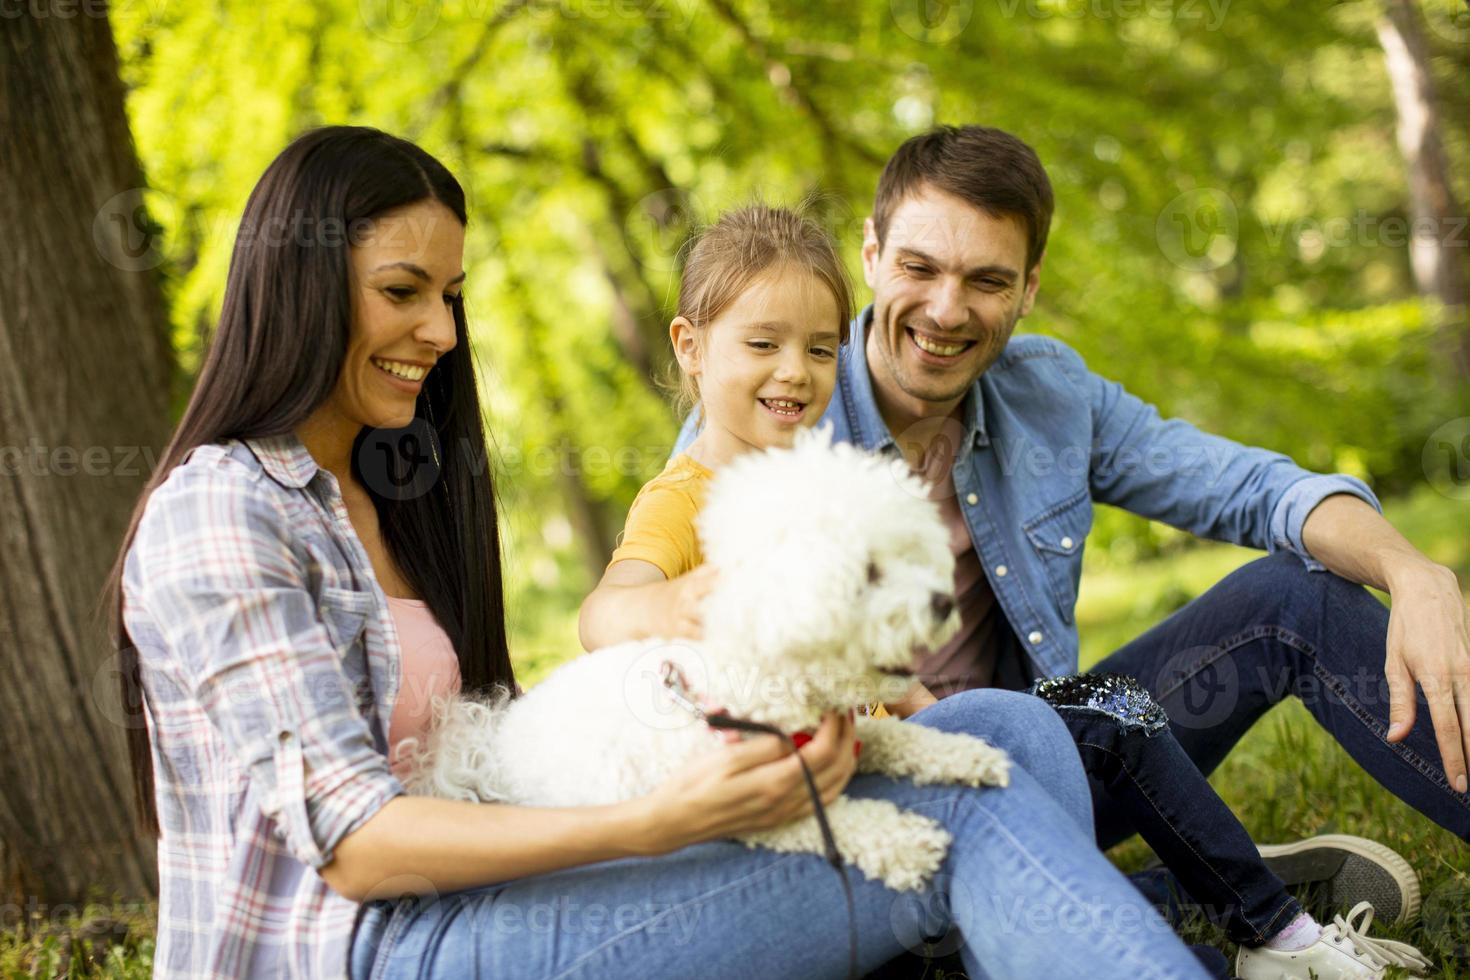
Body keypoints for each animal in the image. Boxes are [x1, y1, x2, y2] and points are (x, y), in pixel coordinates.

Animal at [408, 426, 1017, 887]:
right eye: (867, 573)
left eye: (911, 554)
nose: (942, 602)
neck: (759, 671)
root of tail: (487, 739)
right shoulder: (760, 803)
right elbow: (848, 824)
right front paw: (906, 839)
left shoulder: (833, 734)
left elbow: (896, 735)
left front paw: (963, 754)